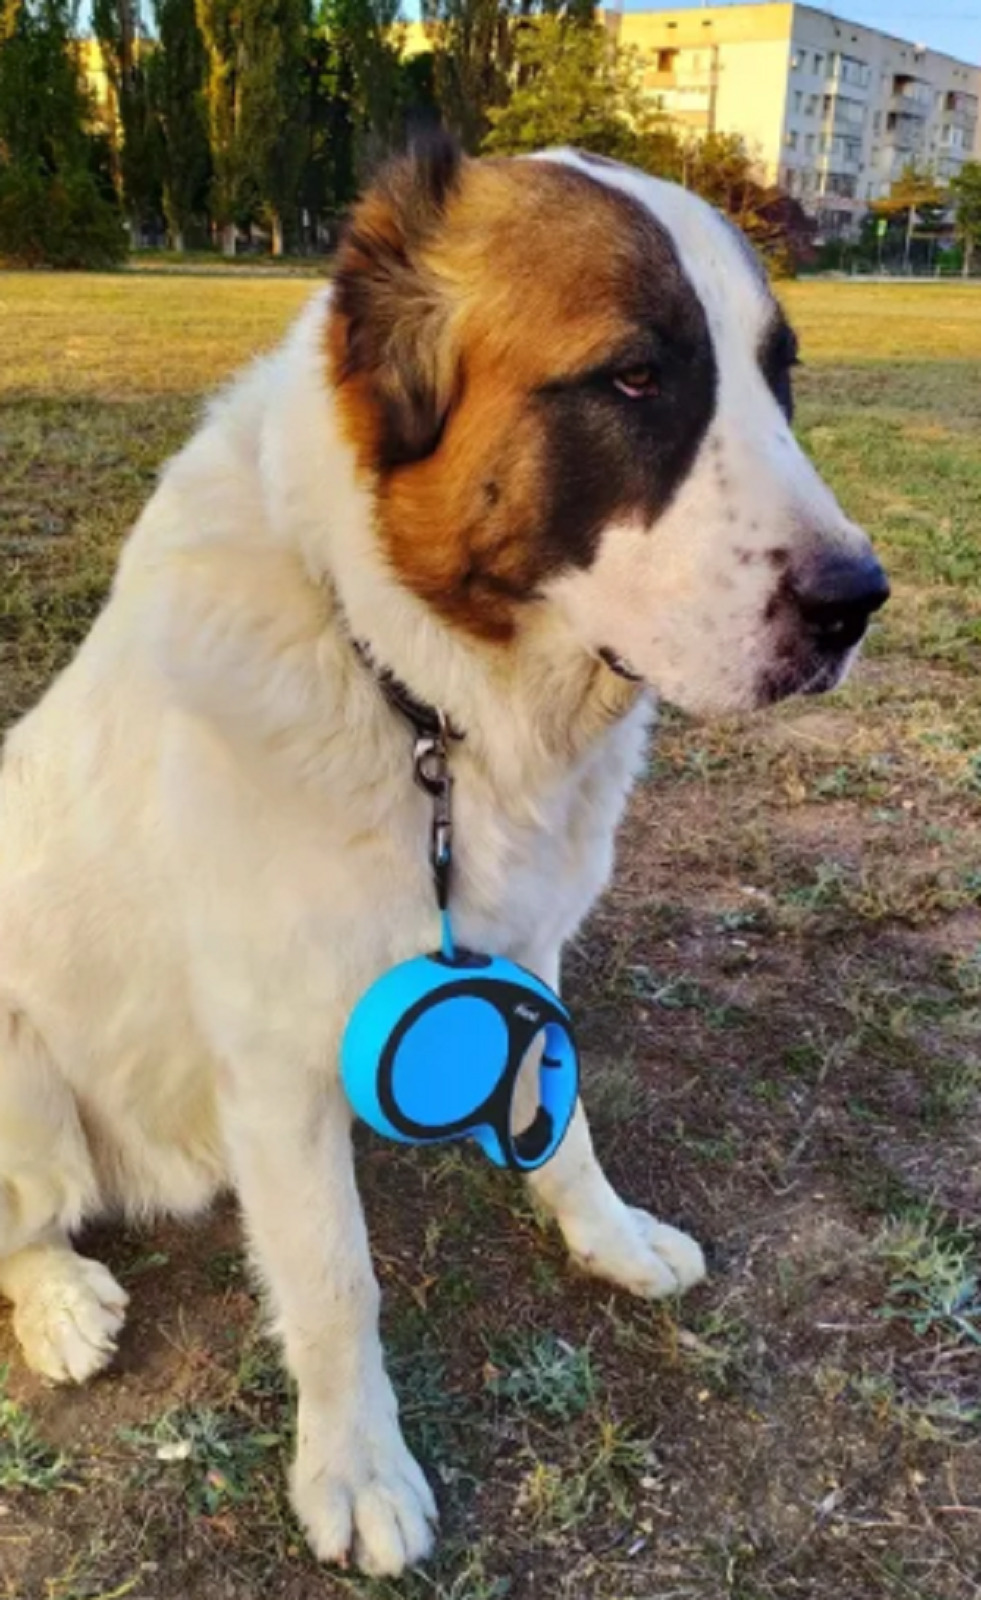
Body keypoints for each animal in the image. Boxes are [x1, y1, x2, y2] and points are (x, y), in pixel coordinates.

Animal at [0, 137, 887, 1576]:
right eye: (633, 378)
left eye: (780, 373)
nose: (856, 603)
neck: (421, 702)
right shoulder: (280, 1064)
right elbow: (335, 1281)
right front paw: (356, 1465)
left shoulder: (525, 956)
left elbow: (565, 1127)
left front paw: (605, 1236)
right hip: (22, 1072)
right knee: (23, 1219)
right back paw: (64, 1298)